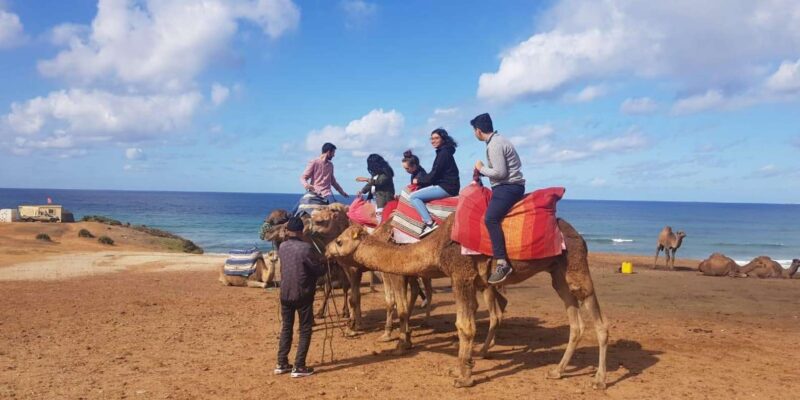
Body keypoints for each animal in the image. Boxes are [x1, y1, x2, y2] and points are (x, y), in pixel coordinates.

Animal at [326, 215, 608, 389]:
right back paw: (557, 371)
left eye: (340, 240)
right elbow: (467, 322)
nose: (328, 250)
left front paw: (464, 378)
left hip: (575, 263)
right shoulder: (470, 280)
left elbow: (464, 326)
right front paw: (464, 367)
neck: (435, 245)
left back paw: (599, 379)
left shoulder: (460, 274)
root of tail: (580, 237)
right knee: (575, 322)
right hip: (557, 272)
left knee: (599, 321)